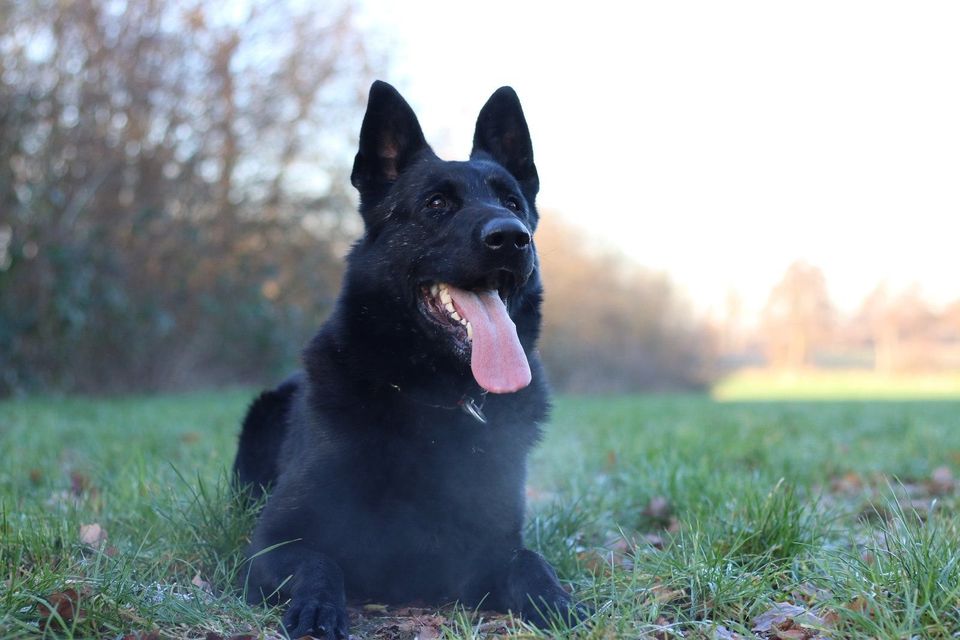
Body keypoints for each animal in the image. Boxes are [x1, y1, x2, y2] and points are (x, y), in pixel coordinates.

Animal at [234, 81, 576, 640]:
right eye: (436, 203)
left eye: (512, 201)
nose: (511, 236)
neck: (431, 399)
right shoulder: (272, 545)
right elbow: (319, 562)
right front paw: (318, 609)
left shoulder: (486, 551)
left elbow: (530, 561)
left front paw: (559, 603)